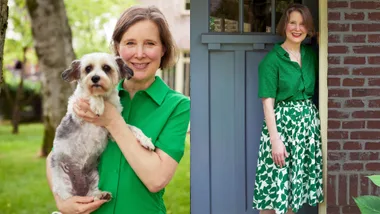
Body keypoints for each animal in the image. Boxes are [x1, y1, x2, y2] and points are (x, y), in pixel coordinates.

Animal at [51, 52, 155, 201]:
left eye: (106, 68)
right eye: (88, 68)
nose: (95, 78)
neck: (105, 98)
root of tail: (80, 190)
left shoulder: (113, 130)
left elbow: (133, 128)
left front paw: (145, 140)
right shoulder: (77, 112)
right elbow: (91, 95)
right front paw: (97, 103)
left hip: (93, 175)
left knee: (92, 192)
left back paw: (101, 195)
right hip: (63, 180)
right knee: (68, 196)